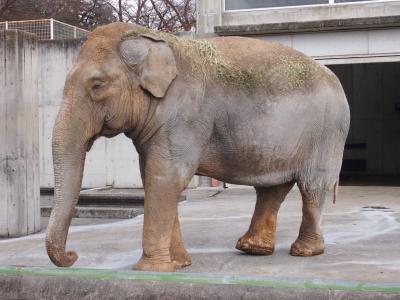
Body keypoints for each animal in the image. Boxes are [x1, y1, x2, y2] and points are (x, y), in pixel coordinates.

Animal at [44, 22, 350, 274]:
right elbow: (154, 178)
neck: (154, 39)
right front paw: (180, 264)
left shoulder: (184, 115)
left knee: (312, 186)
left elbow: (166, 177)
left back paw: (304, 251)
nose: (73, 255)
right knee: (273, 188)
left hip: (328, 132)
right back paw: (252, 248)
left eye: (97, 85)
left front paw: (152, 270)